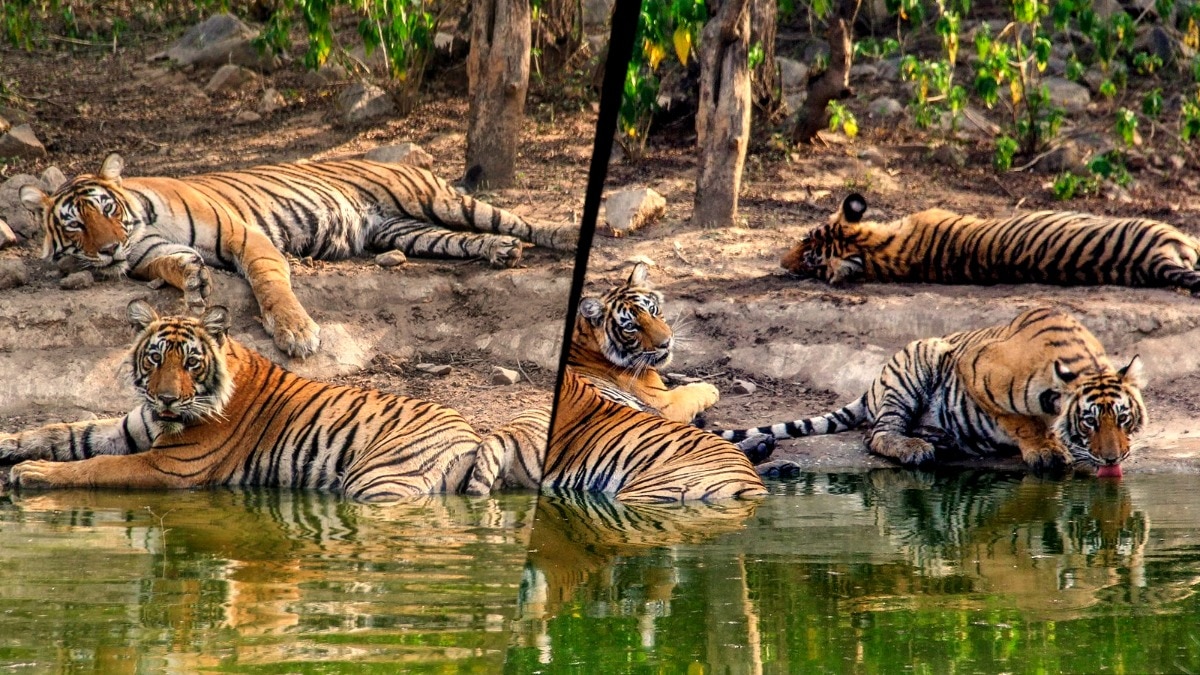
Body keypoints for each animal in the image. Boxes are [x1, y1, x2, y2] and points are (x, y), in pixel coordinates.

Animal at [0, 300, 487, 502]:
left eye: (191, 362)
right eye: (155, 358)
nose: (167, 399)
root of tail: (472, 434)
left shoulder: (169, 465)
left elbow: (96, 465)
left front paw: (33, 473)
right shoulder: (131, 425)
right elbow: (61, 432)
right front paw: (10, 445)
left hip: (377, 479)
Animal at [18, 153, 578, 358]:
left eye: (106, 208)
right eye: (75, 222)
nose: (110, 247)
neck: (141, 225)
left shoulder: (247, 237)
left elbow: (271, 284)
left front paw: (296, 333)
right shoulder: (149, 253)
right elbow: (174, 265)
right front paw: (195, 282)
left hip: (437, 199)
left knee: (512, 218)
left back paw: (567, 234)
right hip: (407, 232)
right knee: (464, 240)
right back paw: (501, 252)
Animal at [712, 307, 1147, 476]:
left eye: (1123, 419)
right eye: (1089, 422)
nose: (1114, 458)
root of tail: (871, 385)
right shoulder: (974, 367)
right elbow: (1017, 420)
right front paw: (1044, 450)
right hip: (919, 361)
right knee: (878, 435)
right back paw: (915, 449)